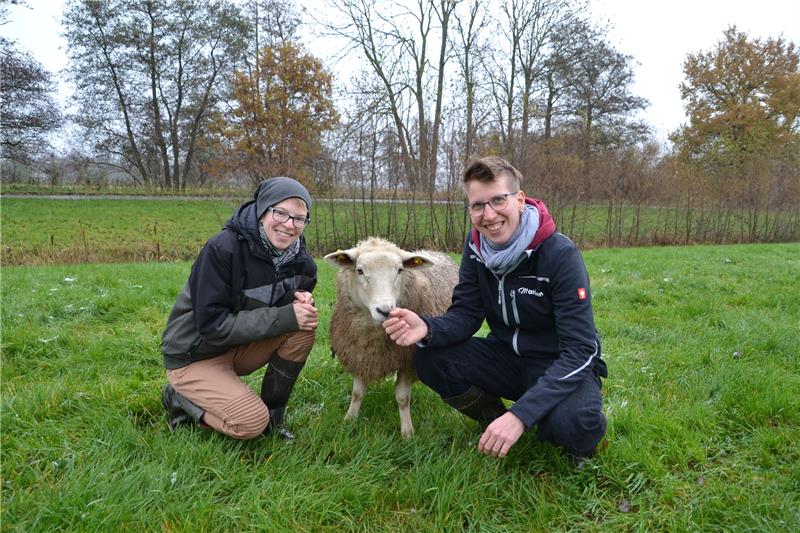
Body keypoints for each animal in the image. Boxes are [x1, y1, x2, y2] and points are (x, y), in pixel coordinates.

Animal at [324, 237, 460, 436]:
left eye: (400, 270)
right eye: (359, 270)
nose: (386, 311)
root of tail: (438, 252)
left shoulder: (408, 361)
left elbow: (402, 398)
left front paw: (407, 433)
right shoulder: (358, 354)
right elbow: (357, 393)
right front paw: (349, 421)